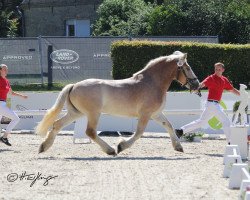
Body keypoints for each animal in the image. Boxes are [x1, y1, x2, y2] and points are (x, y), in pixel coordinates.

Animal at [35, 50, 199, 155]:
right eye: (187, 67)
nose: (197, 84)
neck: (152, 83)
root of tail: (74, 85)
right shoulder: (145, 114)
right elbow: (139, 132)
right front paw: (121, 146)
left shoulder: (156, 114)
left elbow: (169, 126)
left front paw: (178, 147)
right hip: (93, 113)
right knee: (90, 131)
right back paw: (110, 150)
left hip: (76, 113)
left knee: (57, 124)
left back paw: (43, 147)